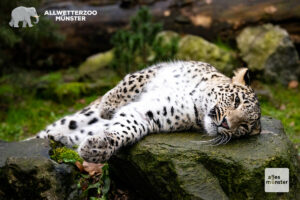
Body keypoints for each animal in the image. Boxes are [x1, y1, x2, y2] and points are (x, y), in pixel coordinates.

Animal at [35, 61, 262, 163]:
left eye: (243, 127)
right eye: (236, 100)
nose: (226, 124)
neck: (196, 100)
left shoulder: (149, 114)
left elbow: (127, 129)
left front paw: (98, 148)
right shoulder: (159, 70)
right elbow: (131, 83)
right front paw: (109, 106)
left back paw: (61, 140)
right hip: (82, 115)